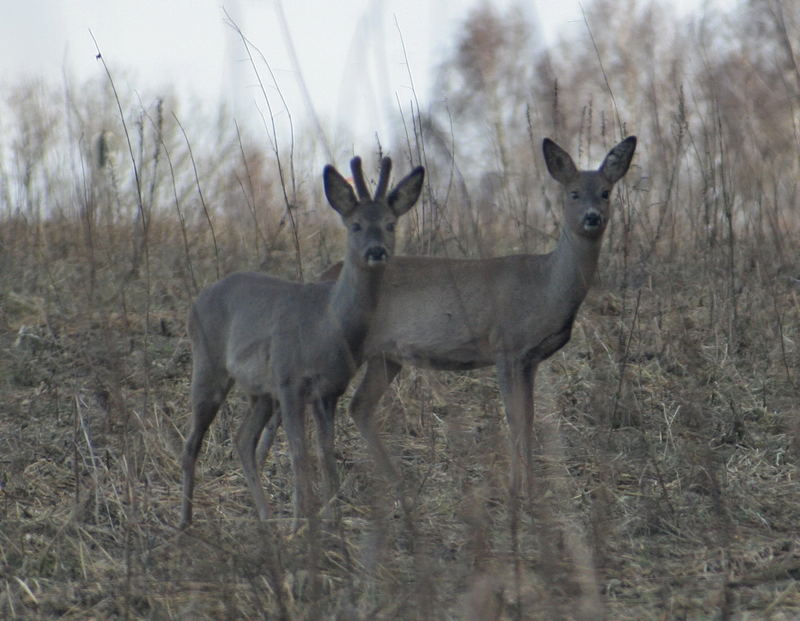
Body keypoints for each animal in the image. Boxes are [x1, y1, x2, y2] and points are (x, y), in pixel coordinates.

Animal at [183, 155, 424, 524]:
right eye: (355, 224)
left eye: (390, 224)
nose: (377, 251)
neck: (327, 326)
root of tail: (198, 299)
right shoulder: (289, 381)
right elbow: (300, 456)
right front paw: (304, 524)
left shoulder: (329, 391)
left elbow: (326, 455)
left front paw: (331, 523)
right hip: (209, 366)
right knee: (192, 442)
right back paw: (186, 523)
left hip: (259, 392)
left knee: (243, 440)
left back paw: (266, 520)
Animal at [256, 136, 636, 498]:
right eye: (573, 193)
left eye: (605, 192)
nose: (592, 217)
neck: (545, 286)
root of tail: (323, 277)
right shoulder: (506, 346)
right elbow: (514, 418)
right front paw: (518, 490)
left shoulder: (530, 359)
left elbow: (527, 419)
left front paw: (531, 488)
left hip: (385, 356)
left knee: (358, 406)